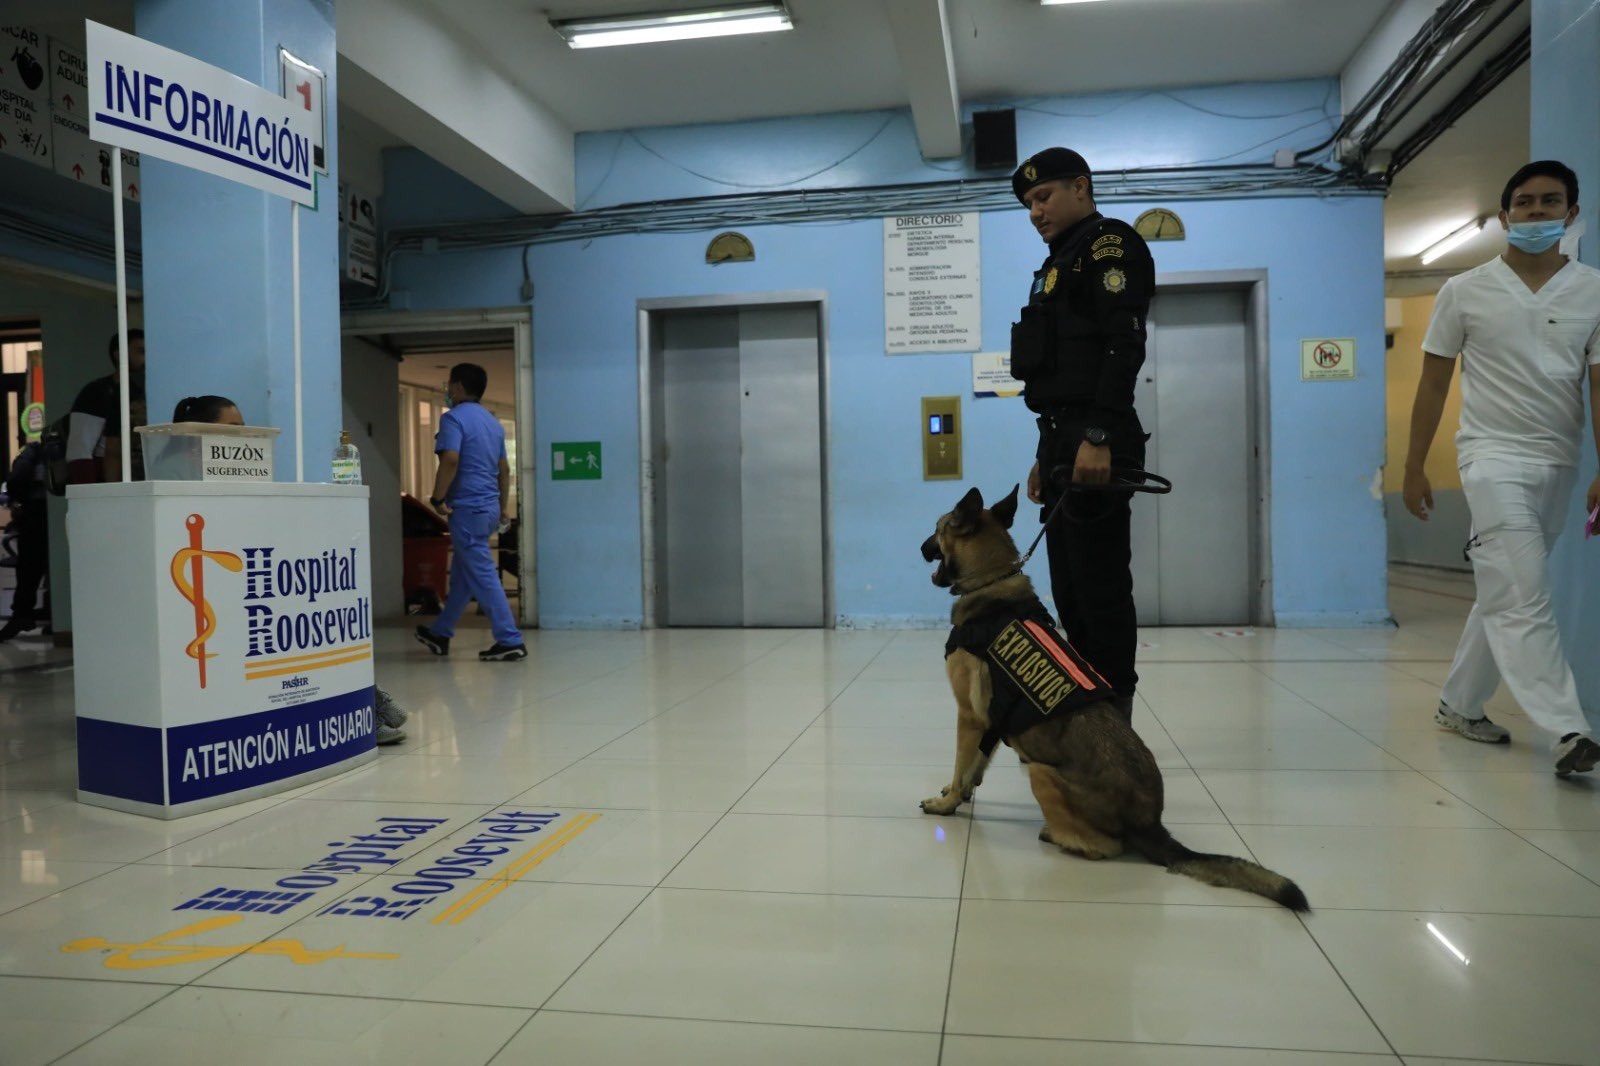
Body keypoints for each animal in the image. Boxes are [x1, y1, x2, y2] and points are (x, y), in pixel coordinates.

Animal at [921, 480, 1305, 902]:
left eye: (937, 529)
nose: (921, 548)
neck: (992, 580)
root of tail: (1150, 822)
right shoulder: (989, 723)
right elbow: (975, 765)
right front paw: (961, 794)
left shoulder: (969, 717)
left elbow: (962, 765)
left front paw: (947, 803)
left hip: (1041, 773)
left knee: (1106, 847)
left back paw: (1056, 834)